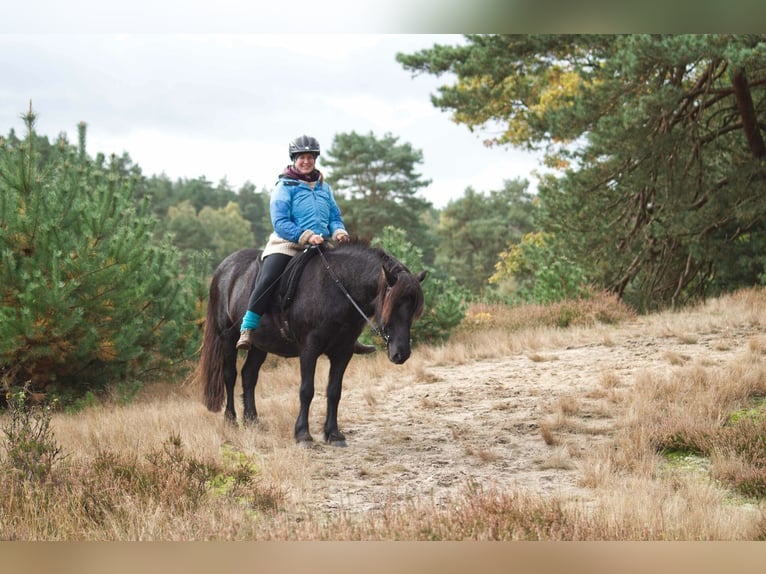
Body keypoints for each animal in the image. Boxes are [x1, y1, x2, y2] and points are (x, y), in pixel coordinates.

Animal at [198, 241, 426, 448]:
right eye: (392, 305)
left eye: (412, 308)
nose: (401, 353)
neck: (337, 289)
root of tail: (223, 269)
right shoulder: (309, 349)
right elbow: (307, 390)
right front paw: (303, 435)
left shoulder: (343, 352)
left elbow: (334, 391)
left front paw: (333, 434)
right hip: (227, 338)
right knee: (230, 375)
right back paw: (231, 420)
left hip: (260, 345)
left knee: (249, 376)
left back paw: (252, 420)